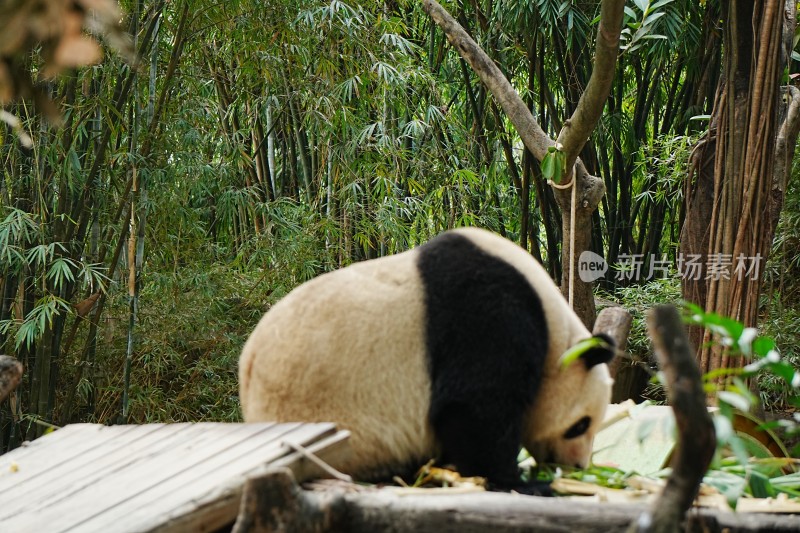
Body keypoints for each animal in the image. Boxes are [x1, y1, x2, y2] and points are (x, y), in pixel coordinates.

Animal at [241, 225, 616, 490]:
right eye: (581, 424)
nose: (577, 466)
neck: (554, 326)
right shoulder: (488, 313)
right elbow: (473, 408)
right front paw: (520, 481)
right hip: (347, 431)